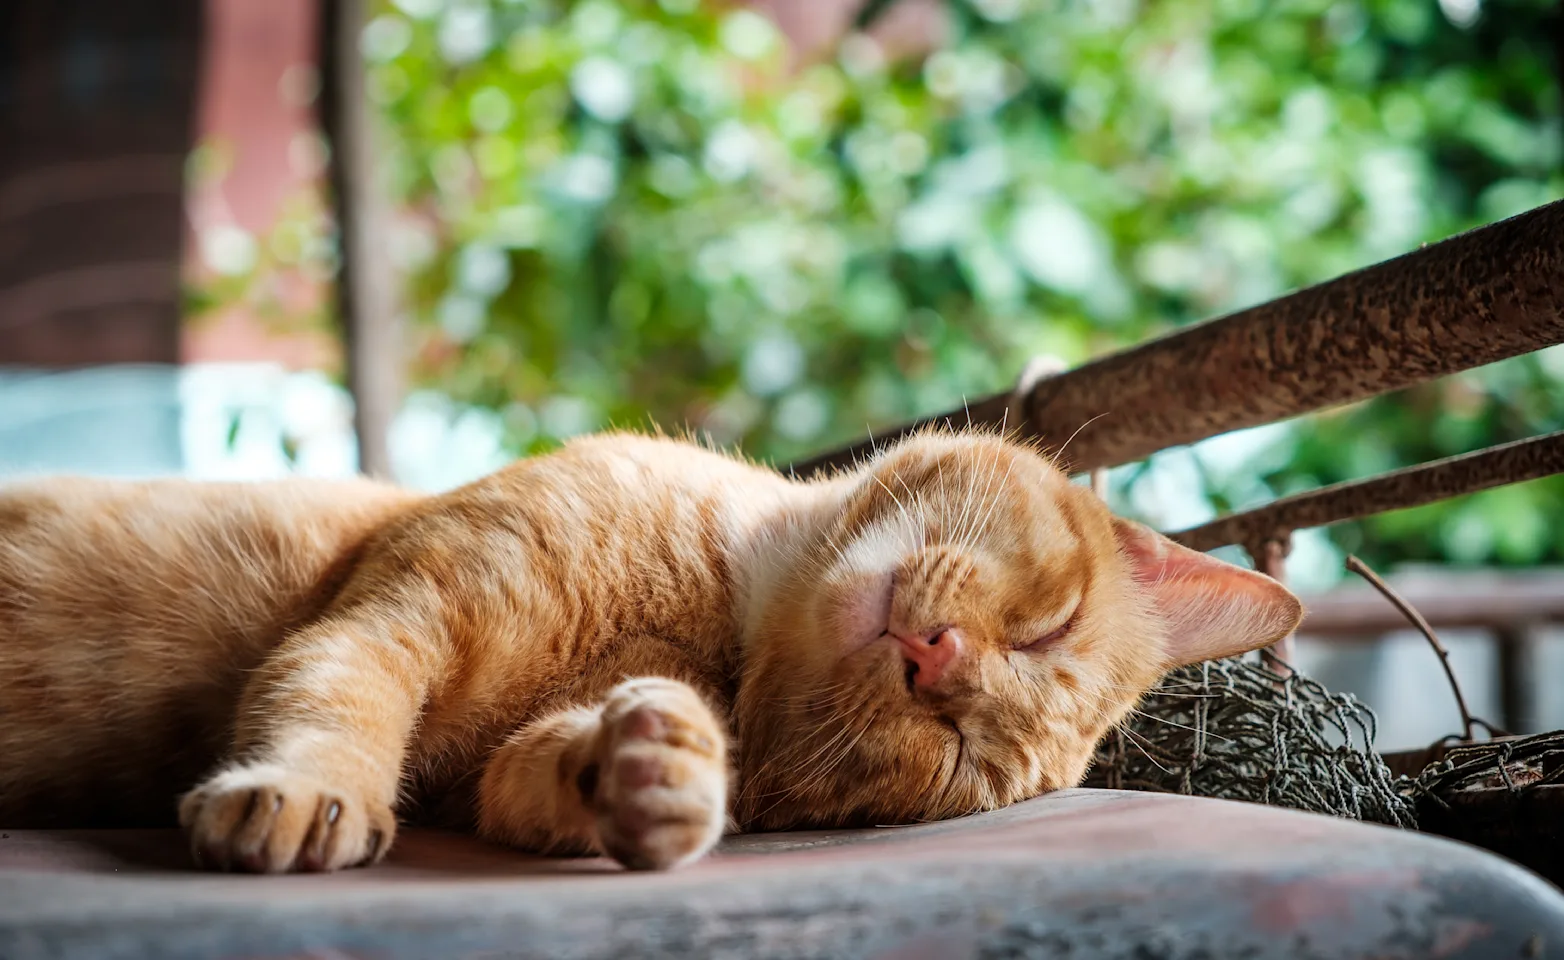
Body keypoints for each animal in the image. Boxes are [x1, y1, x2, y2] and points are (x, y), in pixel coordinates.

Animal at [0, 431, 1294, 875]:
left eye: (953, 755)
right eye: (1049, 622)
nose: (938, 661)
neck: (715, 611)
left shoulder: (484, 776)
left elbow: (543, 777)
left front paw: (659, 769)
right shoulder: (394, 618)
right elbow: (334, 702)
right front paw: (308, 790)